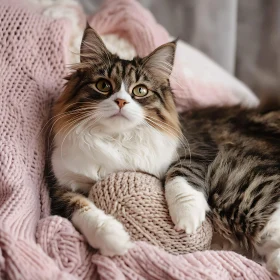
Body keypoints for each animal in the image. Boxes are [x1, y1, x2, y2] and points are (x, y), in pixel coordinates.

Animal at [50, 24, 280, 274]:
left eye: (140, 90)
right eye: (103, 85)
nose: (121, 102)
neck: (117, 138)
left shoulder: (198, 147)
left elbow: (180, 174)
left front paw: (187, 217)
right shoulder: (61, 185)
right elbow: (82, 211)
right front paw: (114, 238)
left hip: (244, 192)